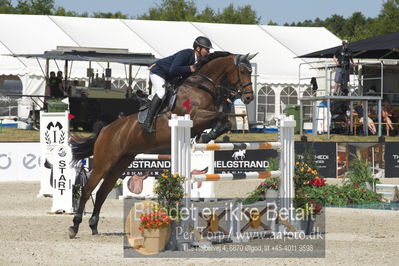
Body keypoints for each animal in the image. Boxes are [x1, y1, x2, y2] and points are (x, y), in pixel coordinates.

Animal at [68, 52, 256, 239]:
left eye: (250, 71)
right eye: (242, 71)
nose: (249, 98)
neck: (201, 85)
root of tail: (105, 130)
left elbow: (225, 120)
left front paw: (205, 136)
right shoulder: (195, 115)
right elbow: (222, 116)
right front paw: (206, 136)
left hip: (120, 163)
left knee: (102, 192)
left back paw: (93, 225)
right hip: (104, 162)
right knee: (88, 190)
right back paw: (75, 226)